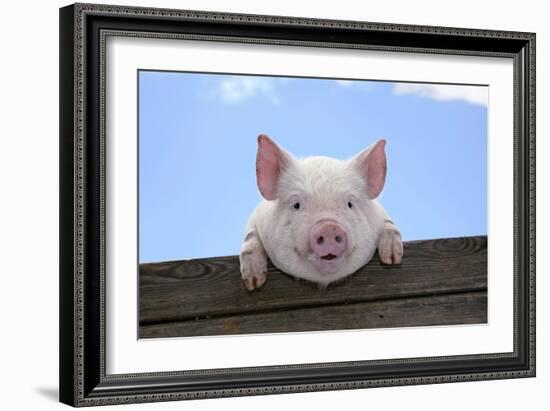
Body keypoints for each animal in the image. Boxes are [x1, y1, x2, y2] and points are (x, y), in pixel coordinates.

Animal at [239, 134, 404, 292]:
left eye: (350, 204)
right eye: (296, 205)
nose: (329, 227)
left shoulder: (382, 213)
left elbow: (390, 224)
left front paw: (392, 259)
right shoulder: (255, 218)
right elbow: (250, 237)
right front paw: (254, 283)